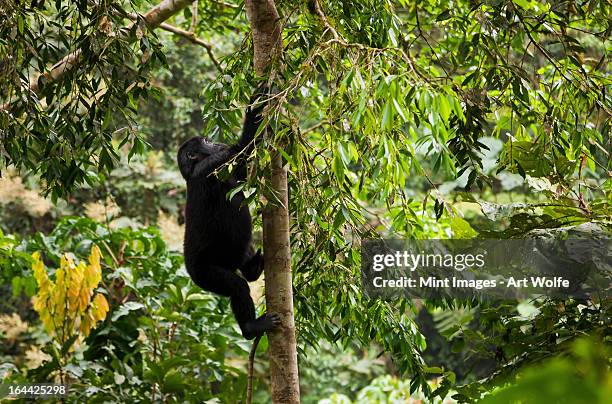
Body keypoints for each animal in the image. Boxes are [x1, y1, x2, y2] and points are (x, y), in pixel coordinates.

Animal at [177, 94, 280, 338]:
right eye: (206, 141)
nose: (214, 141)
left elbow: (244, 172)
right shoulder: (215, 163)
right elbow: (245, 147)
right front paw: (260, 96)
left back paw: (253, 268)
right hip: (206, 275)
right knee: (237, 288)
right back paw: (251, 327)